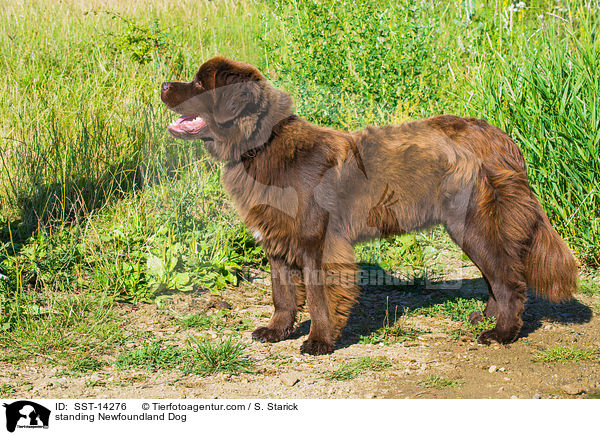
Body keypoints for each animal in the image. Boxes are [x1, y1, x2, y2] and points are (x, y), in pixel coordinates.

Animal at [159, 56, 576, 356]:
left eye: (200, 84)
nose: (162, 84)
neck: (262, 146)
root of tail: (496, 136)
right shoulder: (276, 241)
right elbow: (282, 293)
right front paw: (276, 331)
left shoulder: (317, 243)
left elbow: (319, 297)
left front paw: (319, 342)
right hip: (469, 228)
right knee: (496, 275)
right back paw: (484, 317)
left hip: (473, 223)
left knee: (509, 279)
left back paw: (501, 333)